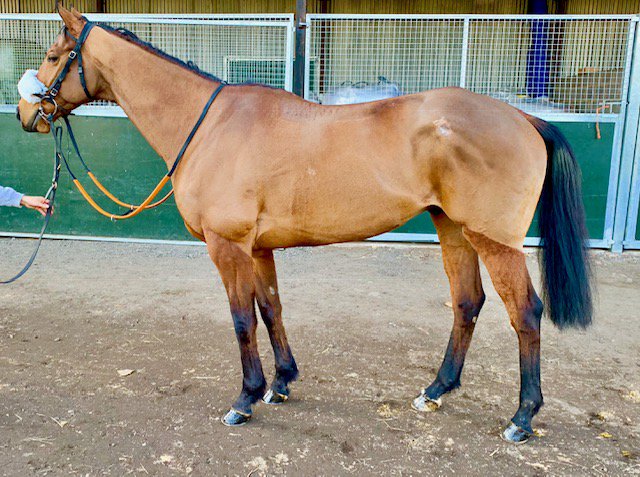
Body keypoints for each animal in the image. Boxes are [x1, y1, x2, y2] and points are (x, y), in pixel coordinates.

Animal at [16, 5, 592, 444]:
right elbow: (271, 309)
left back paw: (522, 418)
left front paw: (245, 398)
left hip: (494, 241)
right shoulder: (258, 248)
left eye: (53, 56)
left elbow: (242, 320)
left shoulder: (227, 246)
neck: (210, 125)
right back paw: (434, 392)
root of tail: (521, 117)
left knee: (526, 313)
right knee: (467, 303)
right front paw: (282, 382)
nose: (26, 115)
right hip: (454, 229)